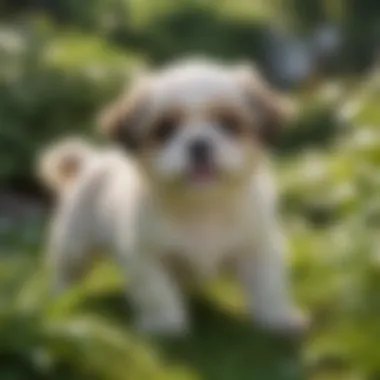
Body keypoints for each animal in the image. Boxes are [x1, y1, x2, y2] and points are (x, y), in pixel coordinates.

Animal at [44, 58, 306, 336]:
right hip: (74, 245)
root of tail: (90, 161)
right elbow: (158, 292)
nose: (199, 144)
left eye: (228, 124)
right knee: (67, 272)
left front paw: (278, 318)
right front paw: (166, 324)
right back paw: (61, 299)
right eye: (165, 129)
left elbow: (269, 287)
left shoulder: (257, 248)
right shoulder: (146, 257)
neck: (203, 207)